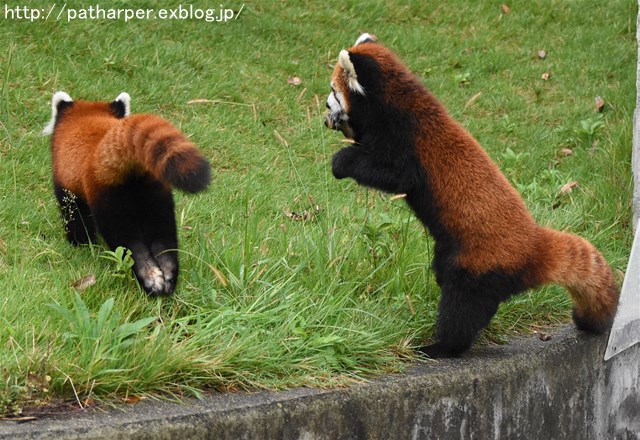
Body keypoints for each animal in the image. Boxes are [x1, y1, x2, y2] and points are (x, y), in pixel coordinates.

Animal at [43, 91, 212, 296]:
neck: (88, 117)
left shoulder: (67, 184)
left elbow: (76, 218)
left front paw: (79, 243)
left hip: (110, 199)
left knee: (126, 240)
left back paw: (147, 279)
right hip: (156, 194)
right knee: (163, 236)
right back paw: (168, 275)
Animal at [324, 34, 620, 358]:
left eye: (333, 91)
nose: (325, 110)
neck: (398, 104)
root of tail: (535, 245)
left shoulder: (406, 143)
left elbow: (395, 175)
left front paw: (342, 161)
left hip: (480, 265)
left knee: (461, 307)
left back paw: (439, 347)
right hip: (452, 251)